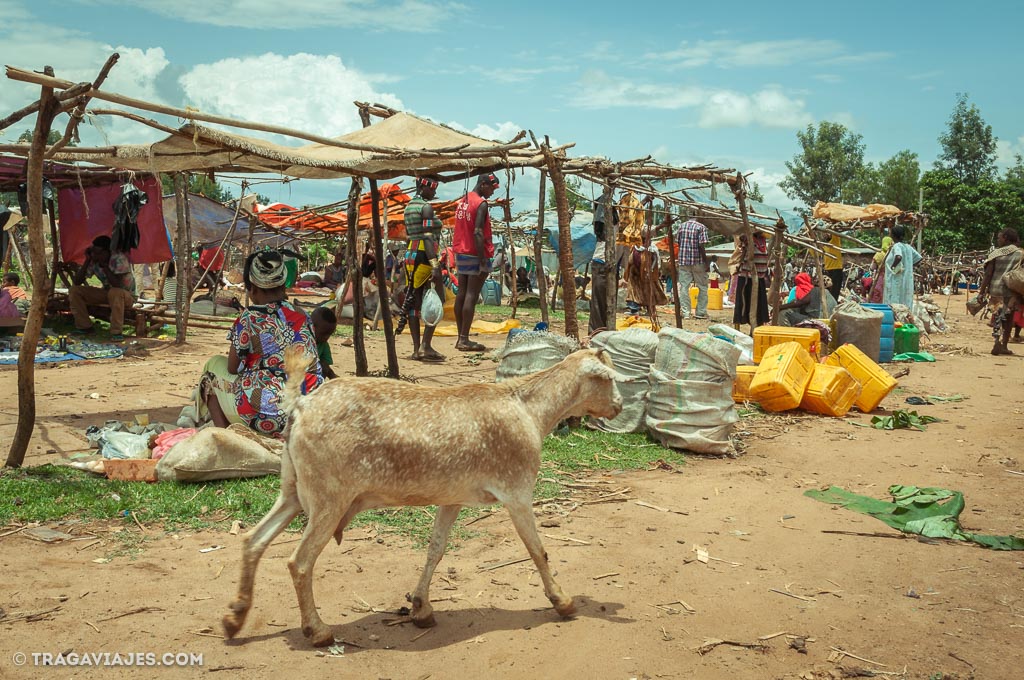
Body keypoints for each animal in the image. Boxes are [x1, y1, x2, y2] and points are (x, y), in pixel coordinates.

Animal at [224, 348, 622, 647]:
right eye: (610, 378)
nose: (618, 406)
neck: (528, 408)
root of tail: (300, 405)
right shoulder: (517, 492)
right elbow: (538, 551)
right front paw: (563, 602)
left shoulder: (453, 498)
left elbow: (436, 549)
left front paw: (420, 608)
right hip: (328, 499)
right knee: (299, 562)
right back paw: (318, 631)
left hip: (292, 491)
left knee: (253, 540)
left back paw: (234, 618)